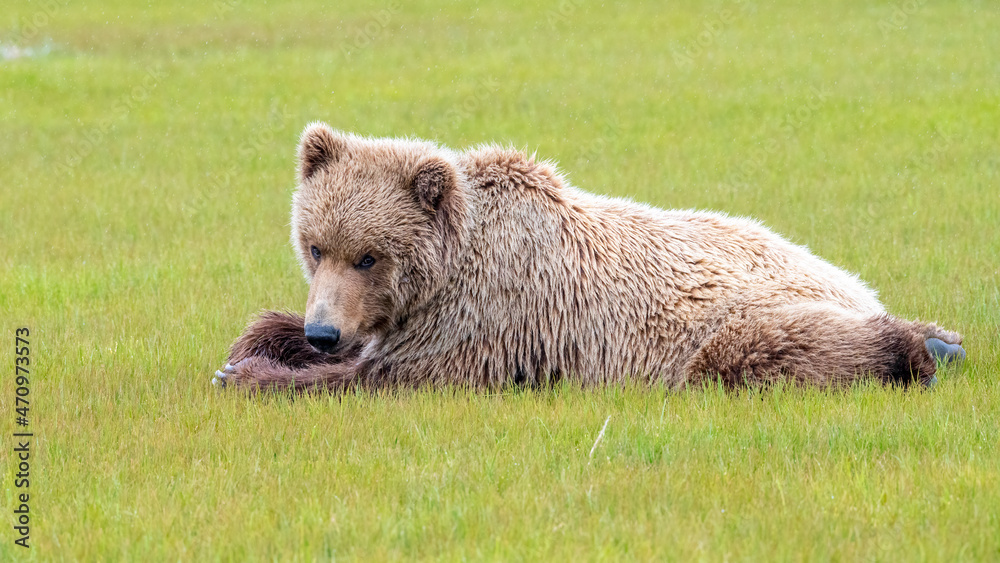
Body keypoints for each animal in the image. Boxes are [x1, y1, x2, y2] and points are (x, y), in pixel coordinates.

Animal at [213, 123, 965, 392]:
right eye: (316, 245)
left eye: (370, 256)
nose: (324, 329)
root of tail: (847, 280)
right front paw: (259, 343)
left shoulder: (488, 318)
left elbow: (389, 376)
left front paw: (248, 375)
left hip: (724, 319)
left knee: (767, 349)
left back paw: (926, 347)